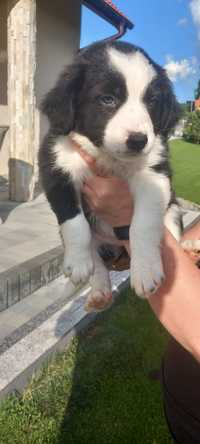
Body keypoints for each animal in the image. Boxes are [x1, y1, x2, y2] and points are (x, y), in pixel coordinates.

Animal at [38, 41, 182, 312]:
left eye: (151, 101)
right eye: (107, 99)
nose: (138, 140)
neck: (108, 157)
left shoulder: (155, 176)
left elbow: (144, 224)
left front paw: (146, 270)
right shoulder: (56, 169)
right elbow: (75, 223)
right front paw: (78, 263)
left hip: (174, 207)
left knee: (171, 230)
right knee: (96, 256)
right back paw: (99, 292)